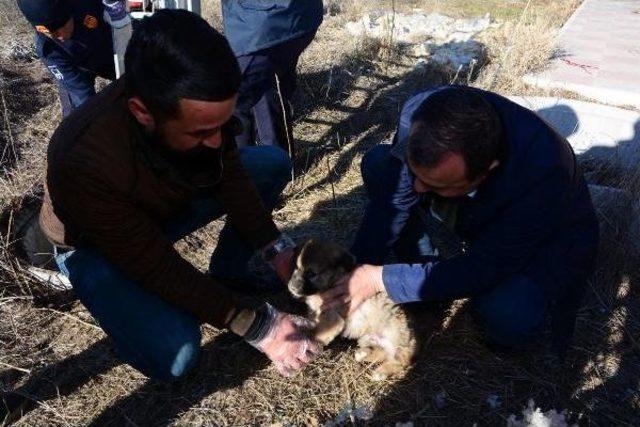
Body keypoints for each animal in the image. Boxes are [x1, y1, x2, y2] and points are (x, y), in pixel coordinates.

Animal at [288, 239, 418, 382]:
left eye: (311, 273)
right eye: (296, 267)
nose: (292, 287)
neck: (330, 282)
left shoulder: (332, 315)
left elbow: (318, 333)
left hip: (397, 339)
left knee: (401, 360)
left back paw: (381, 372)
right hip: (367, 339)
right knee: (382, 353)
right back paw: (364, 354)